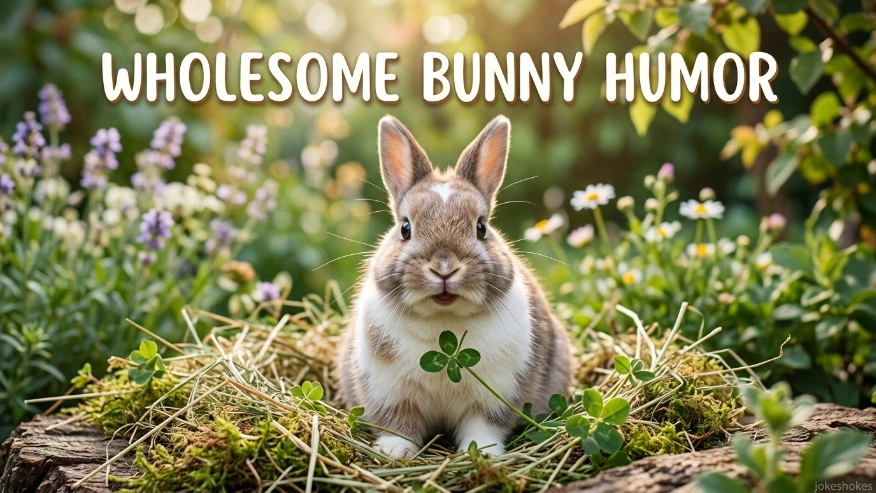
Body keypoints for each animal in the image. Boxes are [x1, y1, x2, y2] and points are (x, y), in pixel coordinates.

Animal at [336, 115, 572, 459]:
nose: (444, 268)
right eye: (405, 228)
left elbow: (483, 425)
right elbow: (398, 423)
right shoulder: (388, 391)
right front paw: (395, 451)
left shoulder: (495, 394)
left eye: (481, 227)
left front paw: (482, 453)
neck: (443, 320)